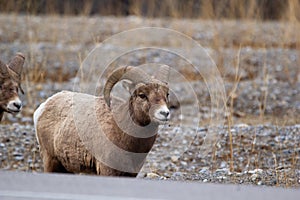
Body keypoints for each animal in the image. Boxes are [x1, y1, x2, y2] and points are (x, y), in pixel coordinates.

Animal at [33, 65, 170, 177]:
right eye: (142, 95)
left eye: (167, 94)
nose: (164, 113)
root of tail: (43, 107)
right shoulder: (108, 171)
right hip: (50, 161)